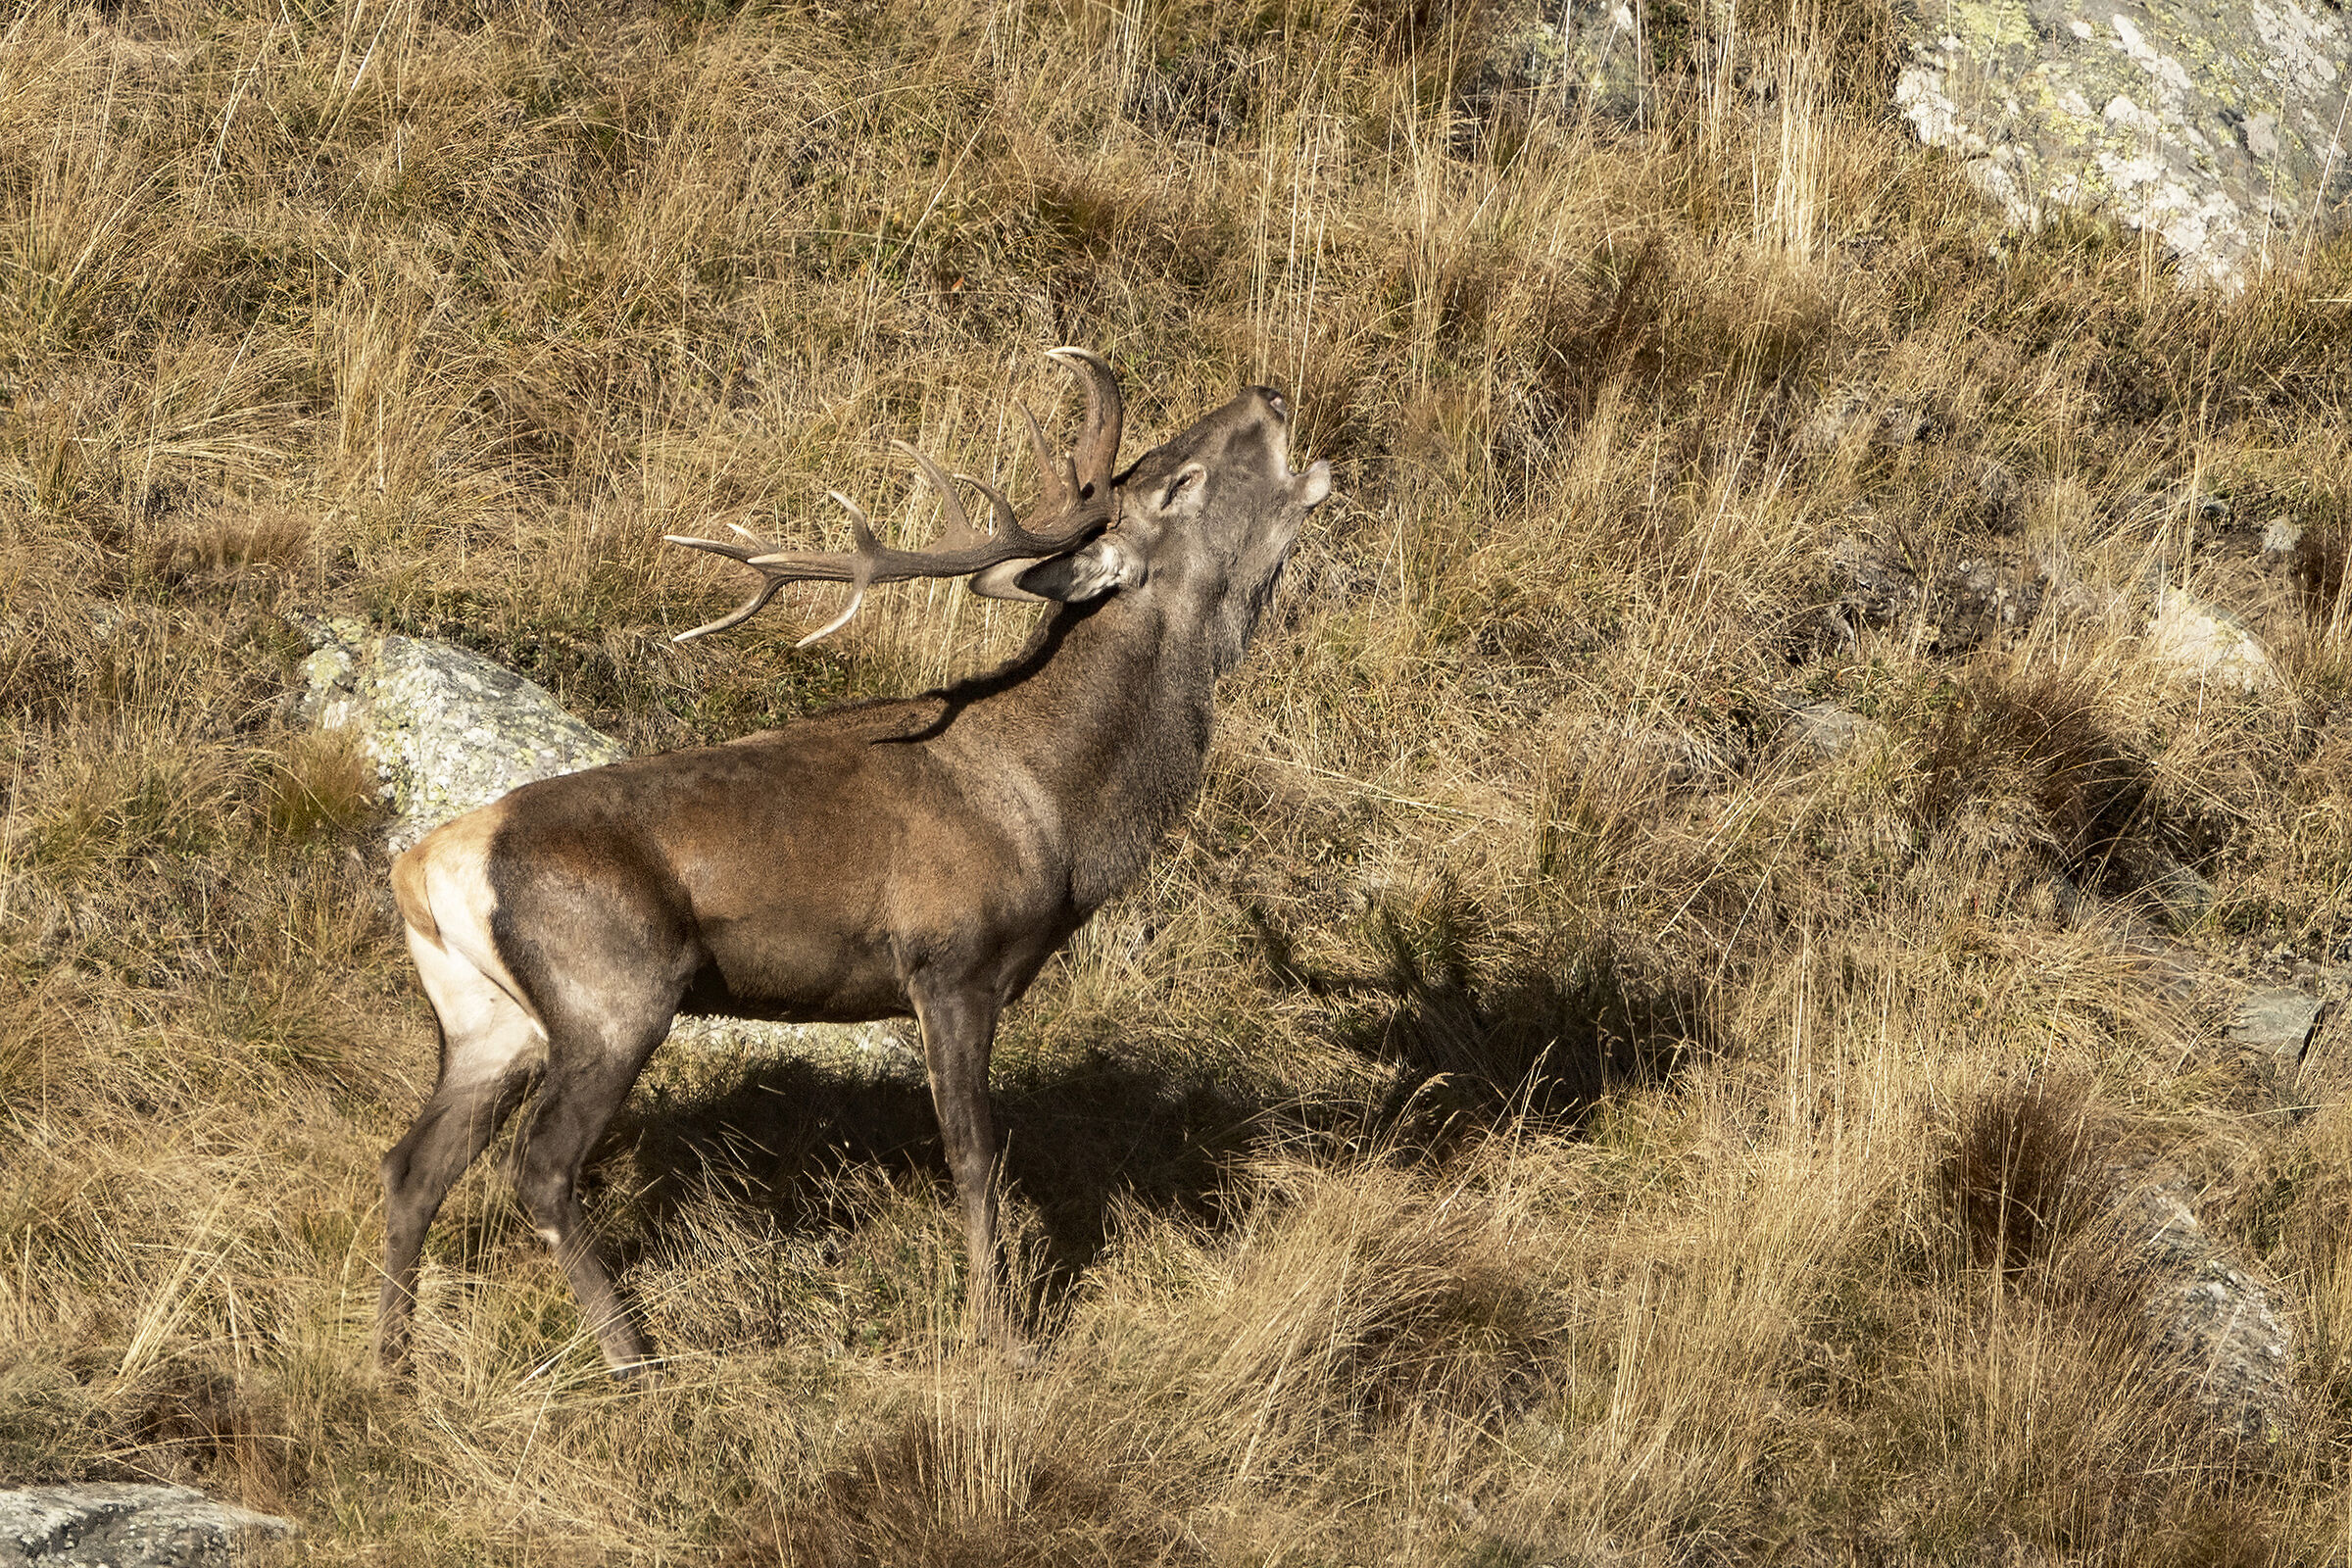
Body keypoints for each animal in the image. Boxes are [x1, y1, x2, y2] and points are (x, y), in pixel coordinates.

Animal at [375, 349, 1333, 1376]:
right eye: (1178, 482)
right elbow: (975, 1155)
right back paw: (634, 1354)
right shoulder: (950, 963)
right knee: (542, 1168)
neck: (1058, 813)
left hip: (489, 1020)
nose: (1271, 394)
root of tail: (424, 867)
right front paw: (1004, 1337)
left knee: (411, 1166)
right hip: (611, 990)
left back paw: (393, 1363)